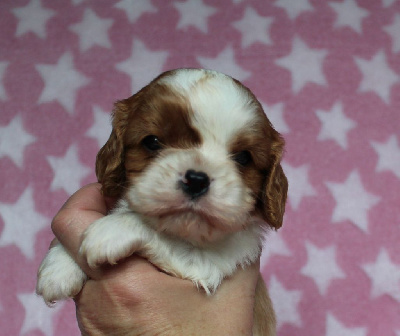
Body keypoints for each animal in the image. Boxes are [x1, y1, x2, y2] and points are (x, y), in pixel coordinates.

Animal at [36, 69, 288, 336]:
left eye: (243, 158)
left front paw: (110, 230)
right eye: (153, 142)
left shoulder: (208, 264)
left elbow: (160, 235)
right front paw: (59, 265)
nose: (196, 180)